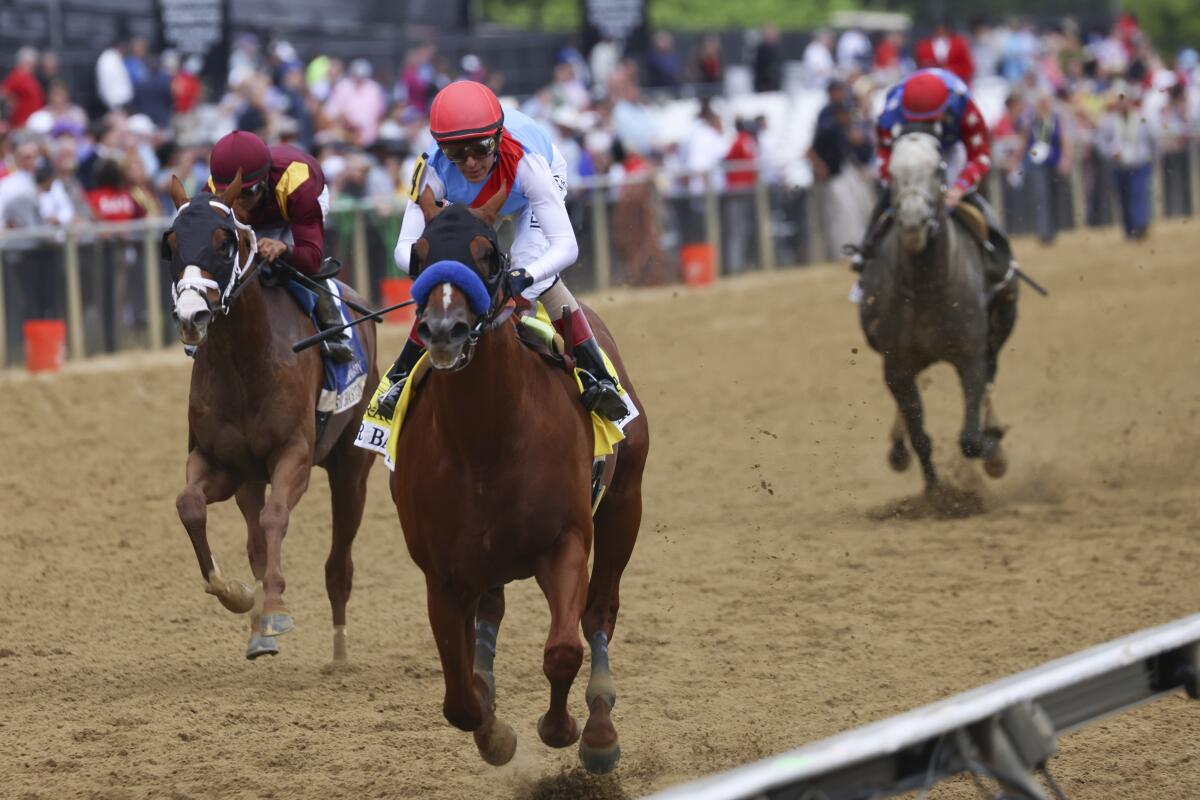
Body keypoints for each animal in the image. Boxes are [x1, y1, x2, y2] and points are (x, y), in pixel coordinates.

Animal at [164, 172, 376, 662]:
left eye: (225, 241)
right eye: (171, 242)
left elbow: (276, 516)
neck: (243, 361)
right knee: (254, 541)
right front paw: (238, 595)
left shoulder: (293, 452)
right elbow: (190, 506)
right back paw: (258, 626)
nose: (191, 317)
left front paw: (276, 609)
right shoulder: (221, 462)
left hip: (351, 467)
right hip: (249, 479)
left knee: (339, 563)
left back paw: (339, 651)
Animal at [391, 189, 648, 777]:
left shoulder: (566, 542)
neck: (485, 441)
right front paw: (495, 733)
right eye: (418, 255)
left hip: (625, 504)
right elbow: (459, 701)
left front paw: (564, 730)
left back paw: (600, 726)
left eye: (487, 255)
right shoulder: (442, 574)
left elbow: (563, 651)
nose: (444, 331)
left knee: (600, 611)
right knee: (491, 616)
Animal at [859, 134, 1017, 491]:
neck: (925, 286)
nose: (913, 222)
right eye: (893, 172)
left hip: (1000, 328)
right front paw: (935, 493)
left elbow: (971, 438)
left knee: (991, 379)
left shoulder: (970, 356)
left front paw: (993, 446)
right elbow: (921, 437)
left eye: (938, 169)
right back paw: (898, 448)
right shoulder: (896, 365)